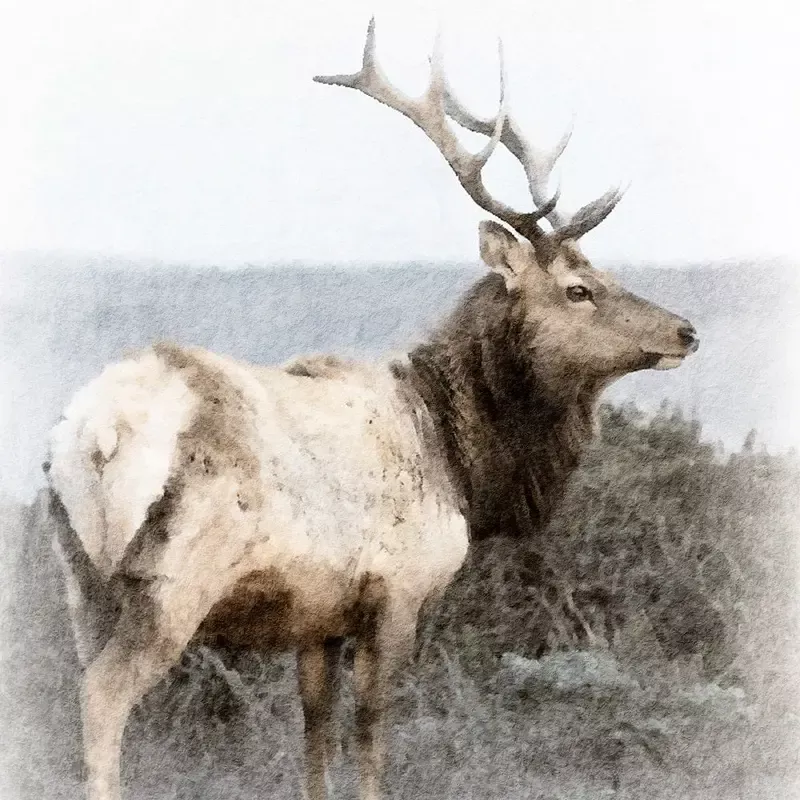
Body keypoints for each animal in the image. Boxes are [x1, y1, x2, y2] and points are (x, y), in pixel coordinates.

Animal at [44, 18, 699, 800]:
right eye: (578, 289)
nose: (686, 331)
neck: (460, 463)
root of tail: (95, 431)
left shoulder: (317, 615)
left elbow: (315, 730)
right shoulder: (397, 592)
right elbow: (372, 731)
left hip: (79, 577)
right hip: (173, 581)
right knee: (103, 697)